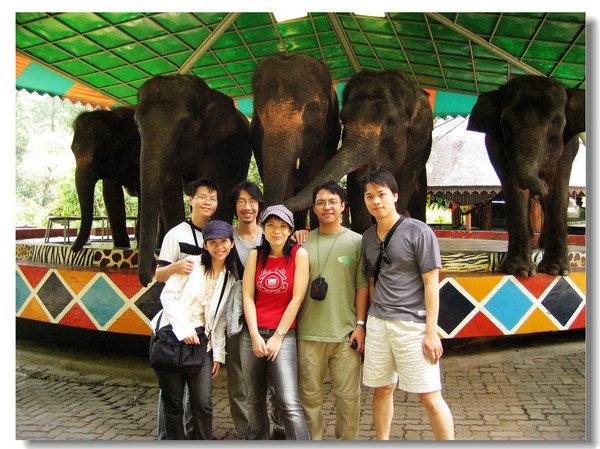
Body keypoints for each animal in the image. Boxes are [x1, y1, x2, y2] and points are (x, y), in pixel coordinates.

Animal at [135, 73, 252, 284]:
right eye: (137, 125)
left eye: (184, 124)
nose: (149, 276)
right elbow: (169, 194)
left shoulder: (218, 145)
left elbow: (219, 192)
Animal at [466, 76, 584, 276]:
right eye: (505, 123)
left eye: (557, 121)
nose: (540, 186)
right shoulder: (502, 150)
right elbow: (515, 190)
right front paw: (519, 271)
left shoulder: (567, 150)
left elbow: (558, 190)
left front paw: (556, 271)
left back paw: (541, 244)